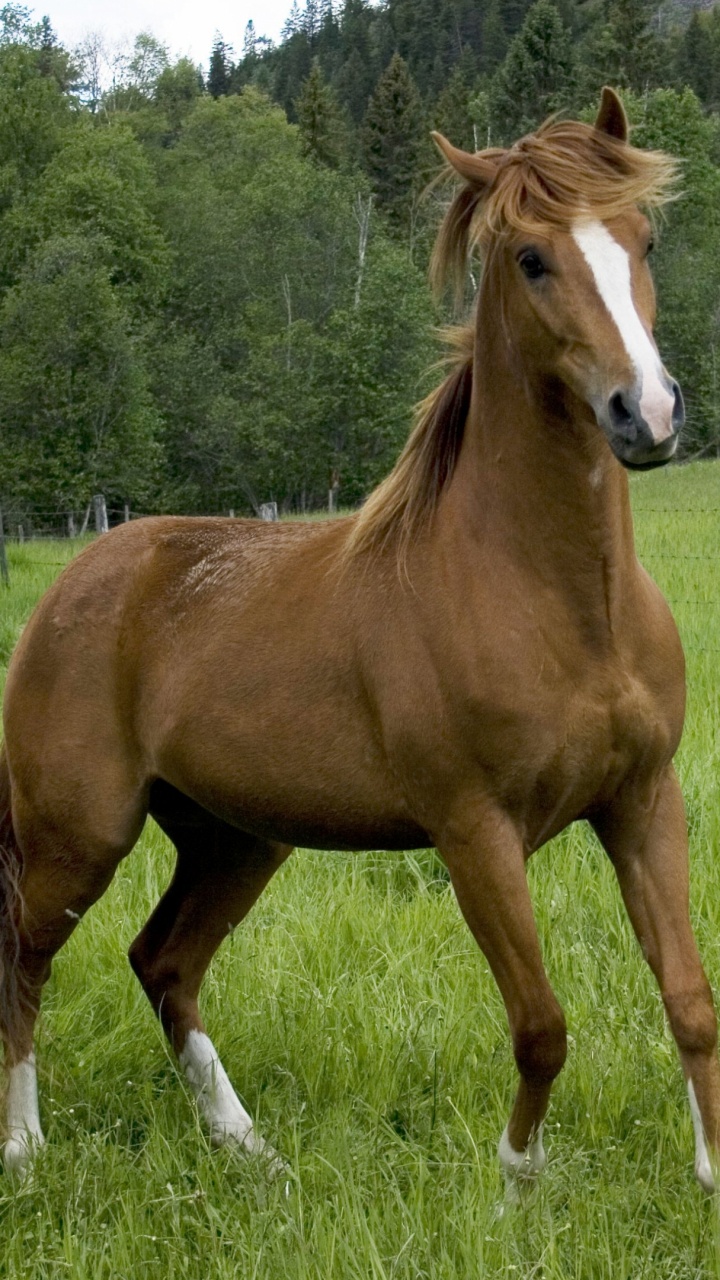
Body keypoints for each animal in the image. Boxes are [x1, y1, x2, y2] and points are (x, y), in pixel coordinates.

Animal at [1, 86, 718, 1195]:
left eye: (646, 237)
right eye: (531, 258)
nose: (645, 412)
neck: (559, 604)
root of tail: (75, 583)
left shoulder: (642, 800)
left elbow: (689, 1000)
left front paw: (710, 1176)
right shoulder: (476, 832)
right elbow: (541, 1023)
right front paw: (516, 1180)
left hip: (235, 837)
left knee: (163, 962)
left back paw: (248, 1148)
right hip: (78, 836)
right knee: (24, 960)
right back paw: (25, 1148)